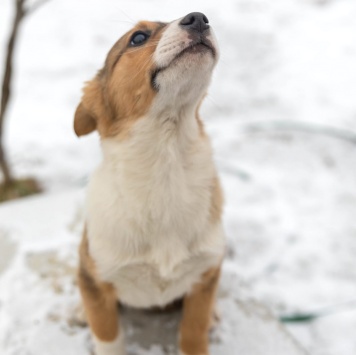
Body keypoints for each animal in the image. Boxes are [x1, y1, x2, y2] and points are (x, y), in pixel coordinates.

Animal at [74, 11, 225, 355]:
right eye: (138, 38)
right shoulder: (97, 280)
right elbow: (109, 338)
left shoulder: (205, 275)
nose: (199, 17)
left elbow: (193, 334)